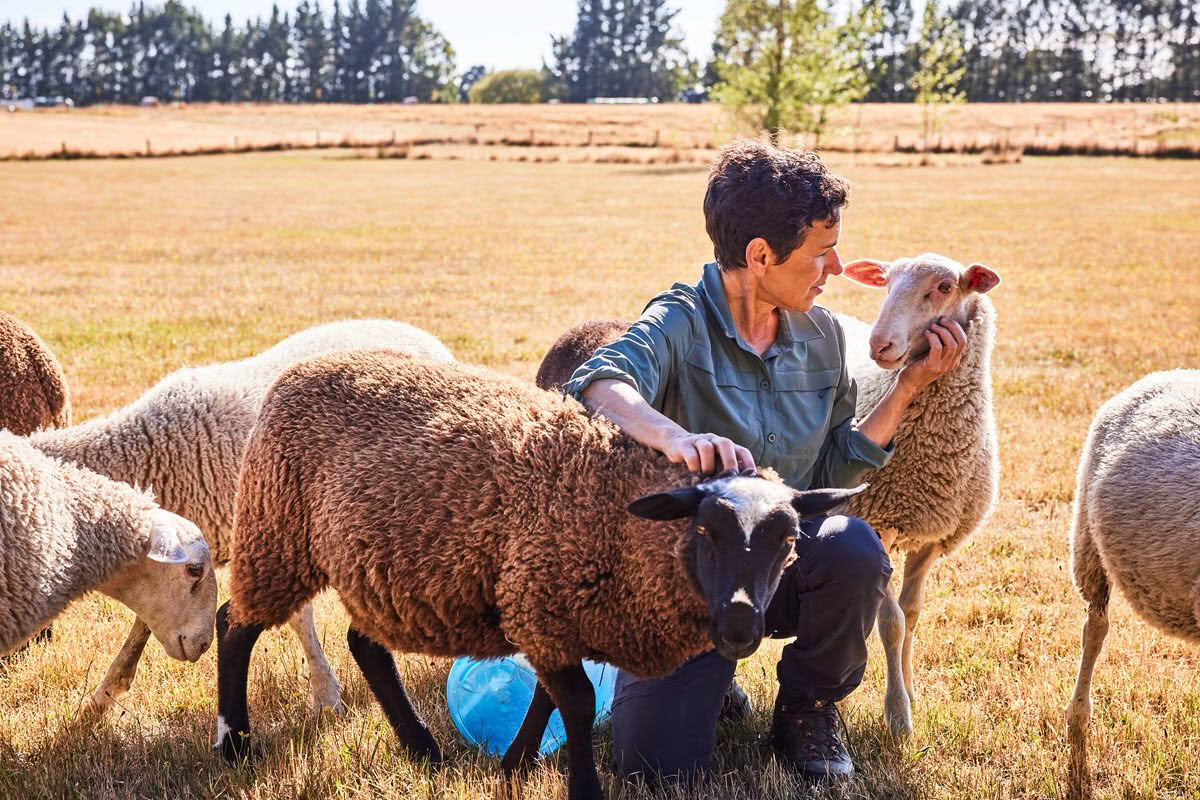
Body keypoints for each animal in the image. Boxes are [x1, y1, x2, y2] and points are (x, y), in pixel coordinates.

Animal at [32, 316, 456, 714]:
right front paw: (99, 700)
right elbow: (146, 621)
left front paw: (326, 696)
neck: (151, 457)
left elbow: (299, 619)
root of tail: (419, 334)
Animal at [211, 352, 859, 800]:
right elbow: (576, 701)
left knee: (363, 643)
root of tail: (302, 369)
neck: (618, 514)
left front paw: (514, 764)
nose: (742, 628)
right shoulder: (542, 599)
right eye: (705, 533)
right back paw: (234, 744)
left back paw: (422, 750)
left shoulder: (552, 612)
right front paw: (582, 788)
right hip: (276, 532)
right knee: (233, 625)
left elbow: (550, 697)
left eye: (788, 542)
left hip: (380, 566)